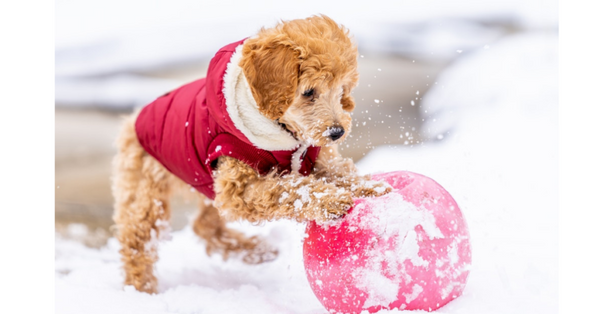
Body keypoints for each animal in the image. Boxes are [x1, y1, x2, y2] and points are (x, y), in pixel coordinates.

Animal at [112, 14, 392, 294]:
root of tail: (134, 119)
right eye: (309, 92)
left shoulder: (317, 158)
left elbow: (340, 172)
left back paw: (255, 251)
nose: (337, 132)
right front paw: (330, 200)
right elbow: (289, 189)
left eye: (342, 90)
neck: (284, 133)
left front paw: (371, 187)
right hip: (147, 191)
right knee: (137, 241)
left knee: (205, 224)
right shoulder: (239, 187)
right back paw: (141, 290)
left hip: (207, 185)